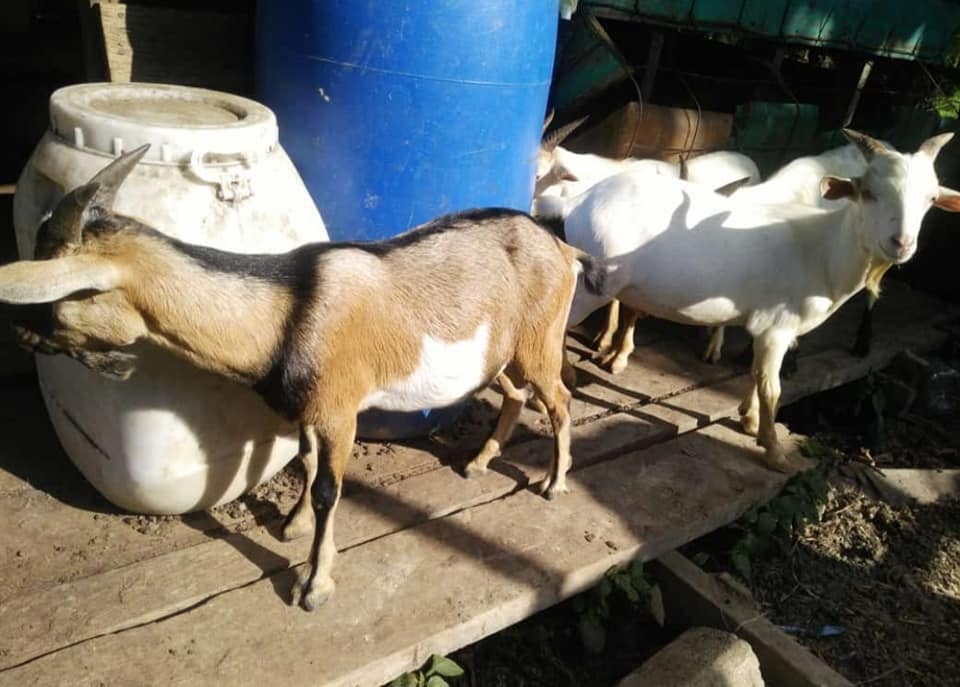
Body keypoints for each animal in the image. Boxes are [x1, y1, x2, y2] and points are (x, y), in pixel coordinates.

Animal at [0, 146, 608, 611]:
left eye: (61, 299)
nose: (22, 335)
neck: (286, 310)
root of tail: (561, 246)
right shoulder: (312, 413)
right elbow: (309, 462)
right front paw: (290, 528)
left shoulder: (340, 411)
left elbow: (326, 489)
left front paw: (314, 586)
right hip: (500, 355)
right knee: (517, 395)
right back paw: (479, 462)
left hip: (539, 342)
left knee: (557, 400)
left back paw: (555, 484)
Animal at [553, 129, 960, 470]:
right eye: (868, 192)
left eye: (931, 198)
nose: (901, 244)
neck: (822, 250)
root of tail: (580, 201)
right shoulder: (778, 327)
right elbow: (772, 386)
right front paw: (774, 450)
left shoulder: (765, 329)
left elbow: (754, 373)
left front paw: (748, 420)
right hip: (593, 285)